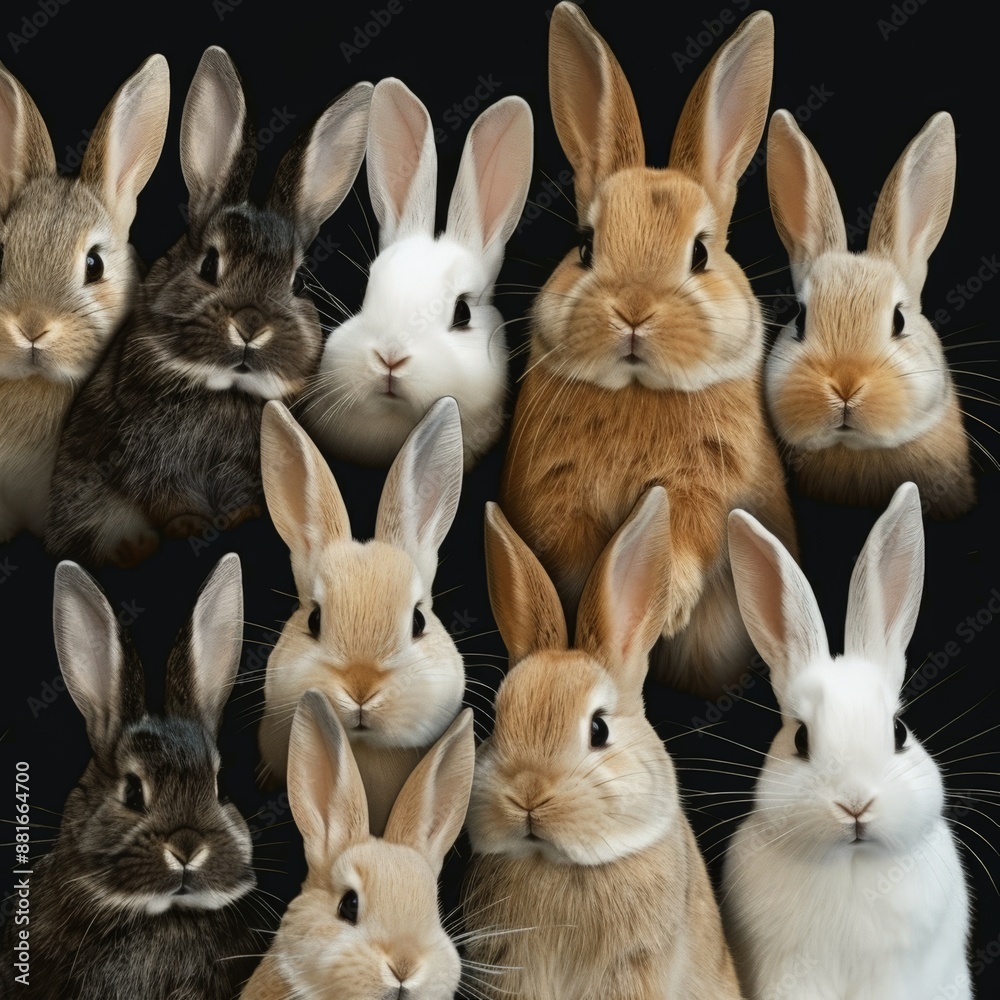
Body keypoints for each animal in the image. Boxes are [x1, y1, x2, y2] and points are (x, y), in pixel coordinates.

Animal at [44, 46, 372, 569]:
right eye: (209, 263)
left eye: (298, 281)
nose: (250, 324)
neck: (223, 390)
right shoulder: (142, 459)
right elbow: (165, 497)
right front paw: (188, 526)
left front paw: (239, 519)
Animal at [498, 2, 797, 699]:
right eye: (585, 246)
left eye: (701, 254)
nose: (633, 311)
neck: (636, 391)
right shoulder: (554, 496)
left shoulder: (711, 485)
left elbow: (688, 534)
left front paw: (670, 609)